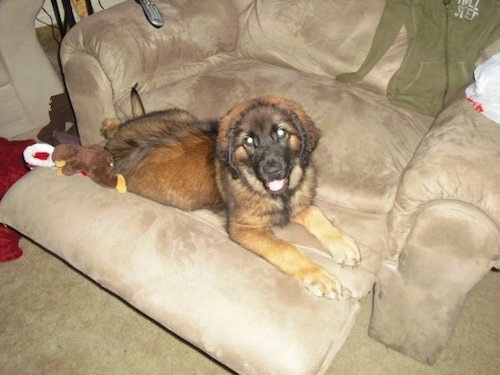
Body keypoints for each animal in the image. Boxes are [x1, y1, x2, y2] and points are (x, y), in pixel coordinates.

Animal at [101, 94, 360, 300]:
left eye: (281, 132)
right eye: (249, 141)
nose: (272, 170)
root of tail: (117, 146)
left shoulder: (293, 202)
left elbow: (315, 212)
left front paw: (344, 244)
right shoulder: (244, 228)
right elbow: (286, 249)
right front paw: (319, 276)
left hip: (182, 115)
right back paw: (108, 124)